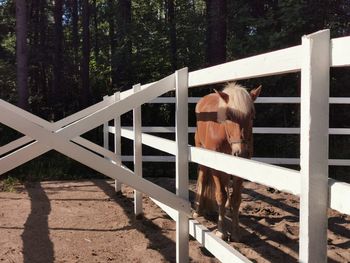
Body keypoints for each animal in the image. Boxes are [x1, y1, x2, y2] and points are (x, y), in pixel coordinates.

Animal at [193, 82, 262, 241]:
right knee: (202, 179)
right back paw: (198, 210)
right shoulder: (215, 167)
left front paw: (235, 233)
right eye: (229, 116)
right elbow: (221, 195)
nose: (241, 152)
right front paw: (221, 231)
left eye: (252, 116)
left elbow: (236, 198)